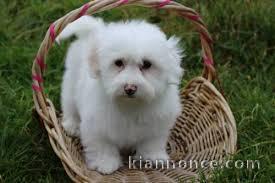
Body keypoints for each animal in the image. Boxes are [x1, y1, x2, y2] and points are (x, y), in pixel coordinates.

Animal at [58, 16, 184, 174]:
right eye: (118, 63)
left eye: (147, 64)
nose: (130, 88)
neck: (129, 105)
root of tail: (94, 30)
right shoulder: (96, 125)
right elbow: (102, 144)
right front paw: (105, 163)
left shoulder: (157, 124)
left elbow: (151, 142)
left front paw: (153, 158)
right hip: (71, 84)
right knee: (69, 105)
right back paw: (72, 125)